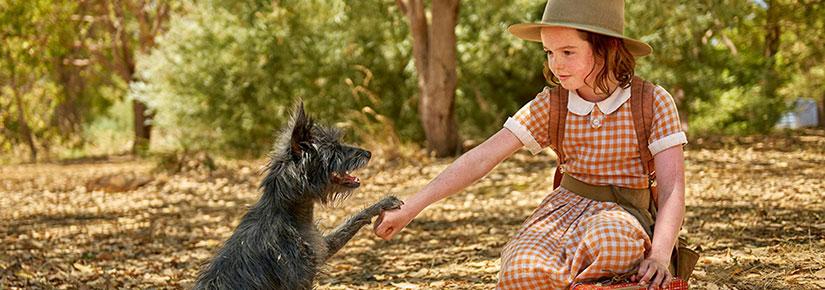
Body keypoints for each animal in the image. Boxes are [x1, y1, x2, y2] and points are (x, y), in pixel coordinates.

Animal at [193, 104, 400, 290]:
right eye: (334, 150)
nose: (368, 153)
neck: (290, 215)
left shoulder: (322, 247)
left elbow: (354, 219)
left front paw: (382, 204)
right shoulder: (299, 279)